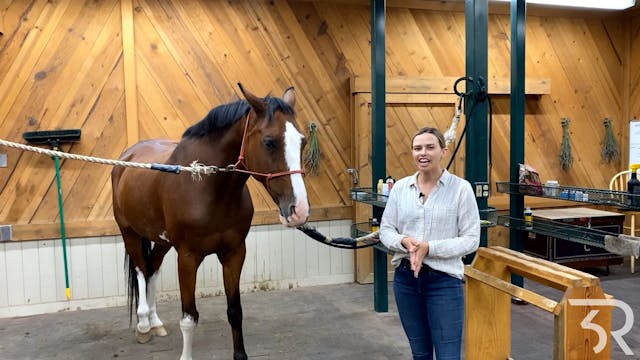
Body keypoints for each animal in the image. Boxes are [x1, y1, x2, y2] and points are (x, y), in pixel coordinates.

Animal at [112, 85, 310, 360]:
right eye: (269, 142)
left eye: (302, 141)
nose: (299, 210)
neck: (205, 184)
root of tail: (126, 157)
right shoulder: (187, 257)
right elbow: (188, 318)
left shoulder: (234, 253)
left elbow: (235, 311)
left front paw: (240, 355)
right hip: (129, 233)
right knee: (142, 270)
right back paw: (143, 325)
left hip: (161, 240)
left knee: (152, 269)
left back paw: (155, 322)